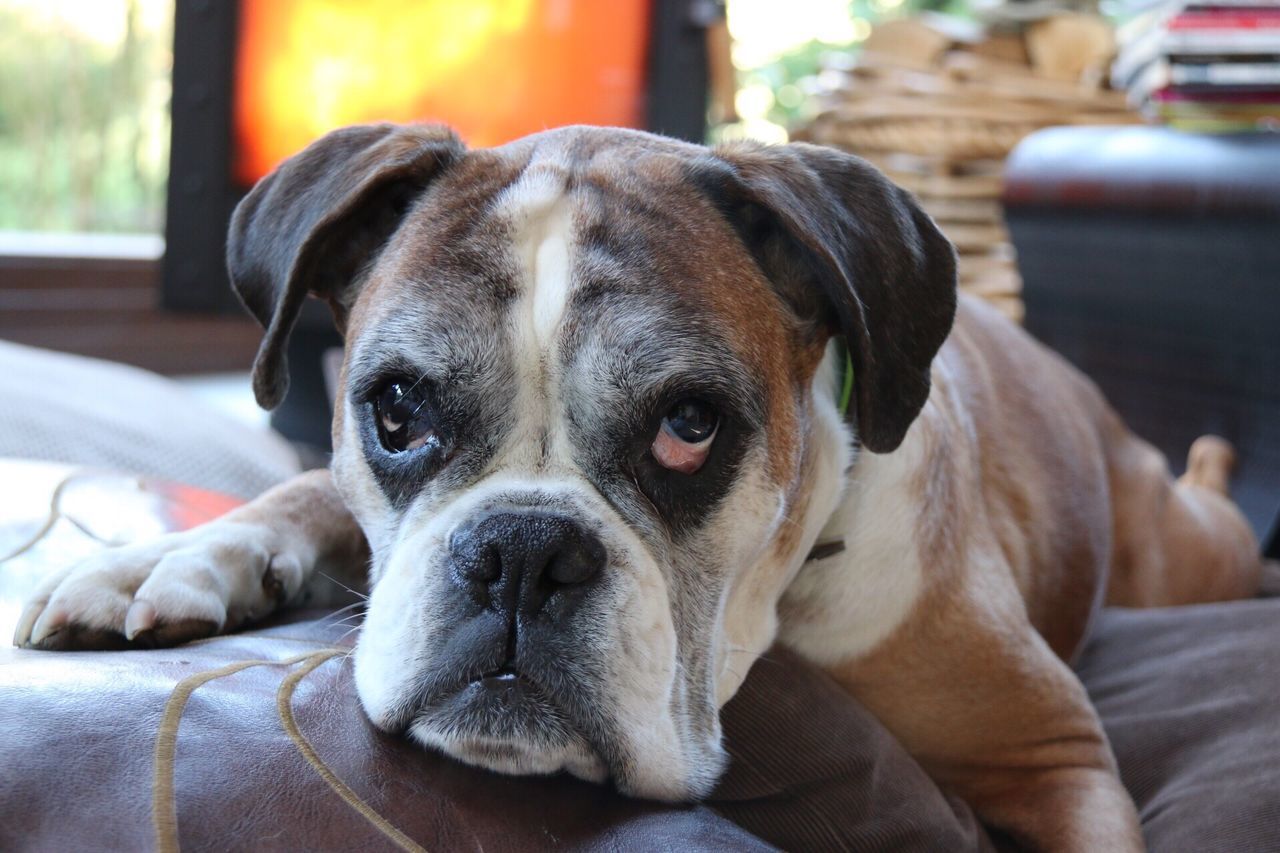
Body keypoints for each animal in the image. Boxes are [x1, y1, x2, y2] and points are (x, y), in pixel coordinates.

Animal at [15, 122, 1264, 845]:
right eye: (397, 410)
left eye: (687, 427)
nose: (521, 552)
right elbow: (311, 495)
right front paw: (173, 556)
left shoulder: (1061, 762)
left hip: (1182, 553)